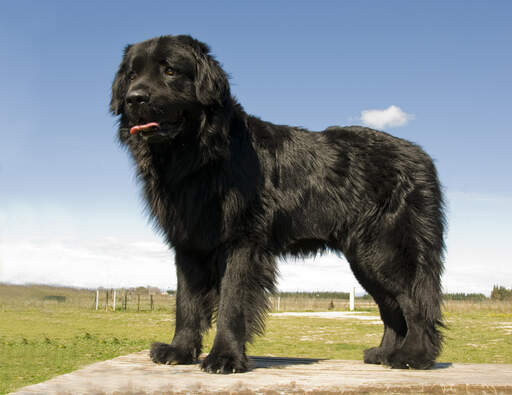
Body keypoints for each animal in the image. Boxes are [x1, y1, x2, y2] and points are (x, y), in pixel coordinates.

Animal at [111, 34, 444, 374]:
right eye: (132, 75)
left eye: (170, 71)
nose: (134, 98)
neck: (200, 156)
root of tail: (422, 157)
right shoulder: (189, 244)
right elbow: (186, 303)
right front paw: (178, 351)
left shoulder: (243, 242)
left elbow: (231, 303)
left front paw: (225, 358)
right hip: (363, 259)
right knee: (391, 308)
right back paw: (384, 354)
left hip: (385, 251)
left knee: (414, 302)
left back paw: (413, 357)